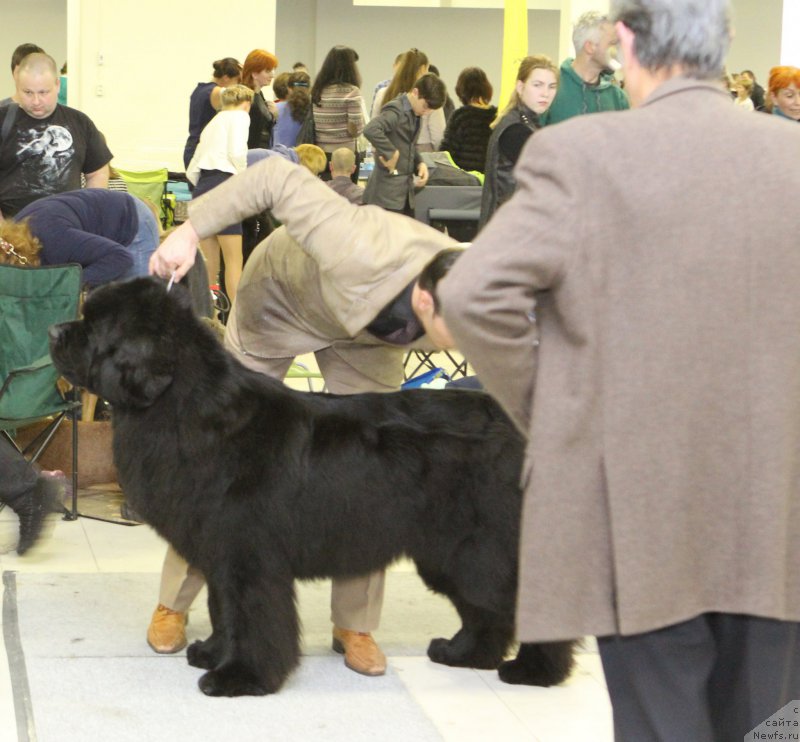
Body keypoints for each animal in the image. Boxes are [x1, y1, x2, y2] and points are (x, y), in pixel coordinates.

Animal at [50, 278, 576, 696]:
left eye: (95, 325)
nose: (54, 332)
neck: (185, 407)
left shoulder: (249, 557)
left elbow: (252, 617)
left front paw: (241, 677)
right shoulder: (219, 550)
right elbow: (223, 610)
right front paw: (213, 652)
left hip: (481, 548)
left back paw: (534, 672)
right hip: (450, 554)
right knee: (488, 611)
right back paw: (464, 653)